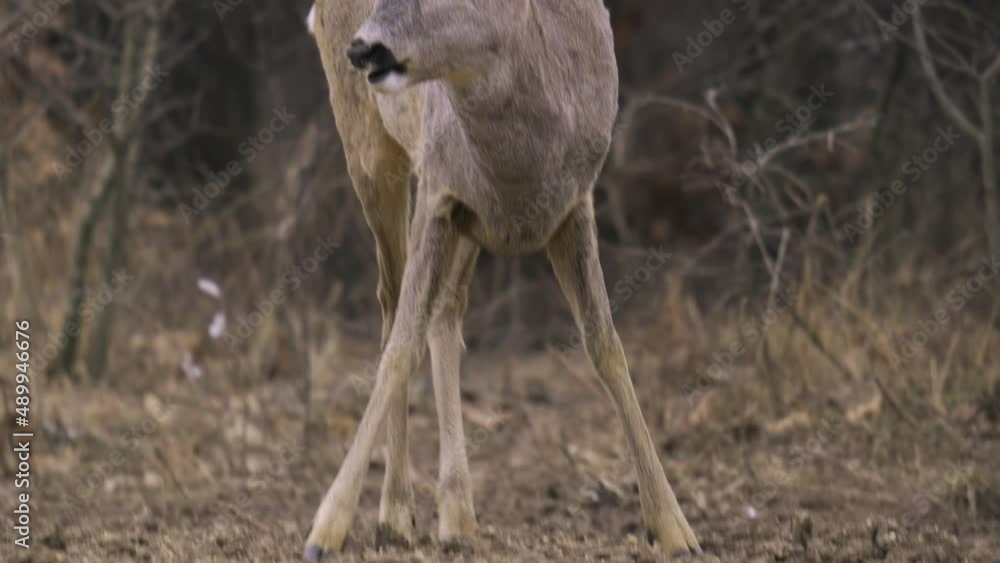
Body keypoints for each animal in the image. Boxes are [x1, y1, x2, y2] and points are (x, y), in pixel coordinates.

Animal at [304, 0, 704, 556]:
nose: (363, 47)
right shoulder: (439, 189)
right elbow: (400, 348)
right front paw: (325, 529)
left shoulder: (573, 204)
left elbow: (606, 346)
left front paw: (674, 527)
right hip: (368, 143)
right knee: (392, 299)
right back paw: (397, 514)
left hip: (463, 224)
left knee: (446, 311)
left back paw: (456, 517)